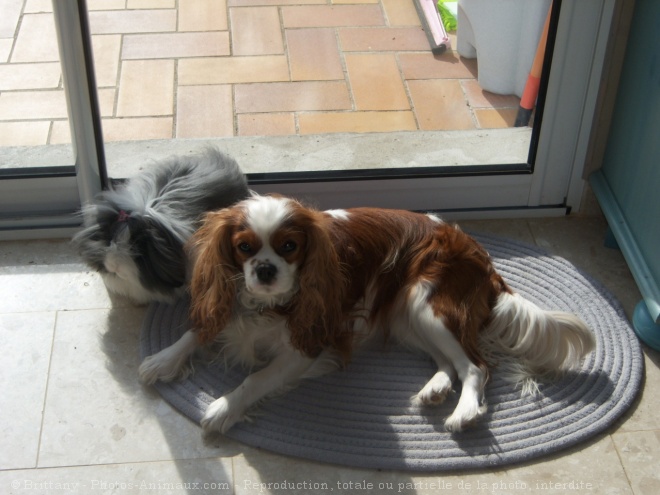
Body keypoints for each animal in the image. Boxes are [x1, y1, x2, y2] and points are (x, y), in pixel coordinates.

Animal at [138, 194, 592, 434]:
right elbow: (197, 331)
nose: (265, 270)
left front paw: (223, 406)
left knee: (476, 365)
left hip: (428, 302)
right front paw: (162, 359)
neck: (266, 304)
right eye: (244, 247)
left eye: (289, 247)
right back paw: (436, 389)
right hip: (407, 315)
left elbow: (256, 378)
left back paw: (463, 411)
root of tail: (484, 259)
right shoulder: (226, 303)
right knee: (451, 362)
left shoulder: (309, 345)